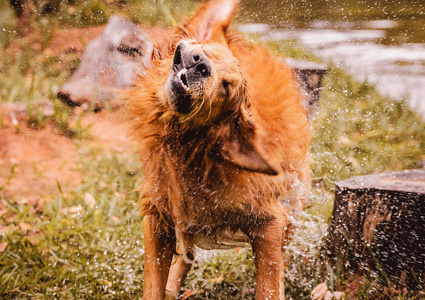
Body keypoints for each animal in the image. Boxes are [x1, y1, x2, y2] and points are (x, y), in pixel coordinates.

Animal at [124, 1, 310, 298]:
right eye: (208, 49)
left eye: (226, 87)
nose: (201, 64)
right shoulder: (157, 214)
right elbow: (153, 286)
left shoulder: (271, 220)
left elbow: (269, 285)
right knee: (184, 258)